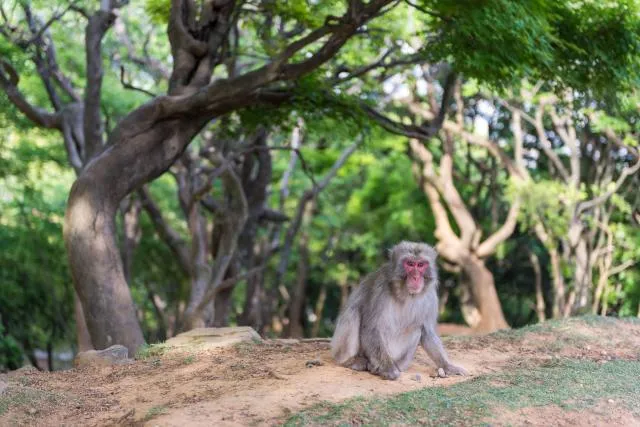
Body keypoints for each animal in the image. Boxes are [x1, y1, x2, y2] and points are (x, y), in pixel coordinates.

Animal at [330, 241, 464, 382]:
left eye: (421, 265)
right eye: (410, 264)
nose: (415, 277)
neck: (406, 292)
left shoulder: (431, 296)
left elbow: (428, 331)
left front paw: (448, 366)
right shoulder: (380, 289)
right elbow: (371, 328)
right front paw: (389, 369)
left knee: (417, 329)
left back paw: (393, 366)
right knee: (354, 312)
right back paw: (351, 360)